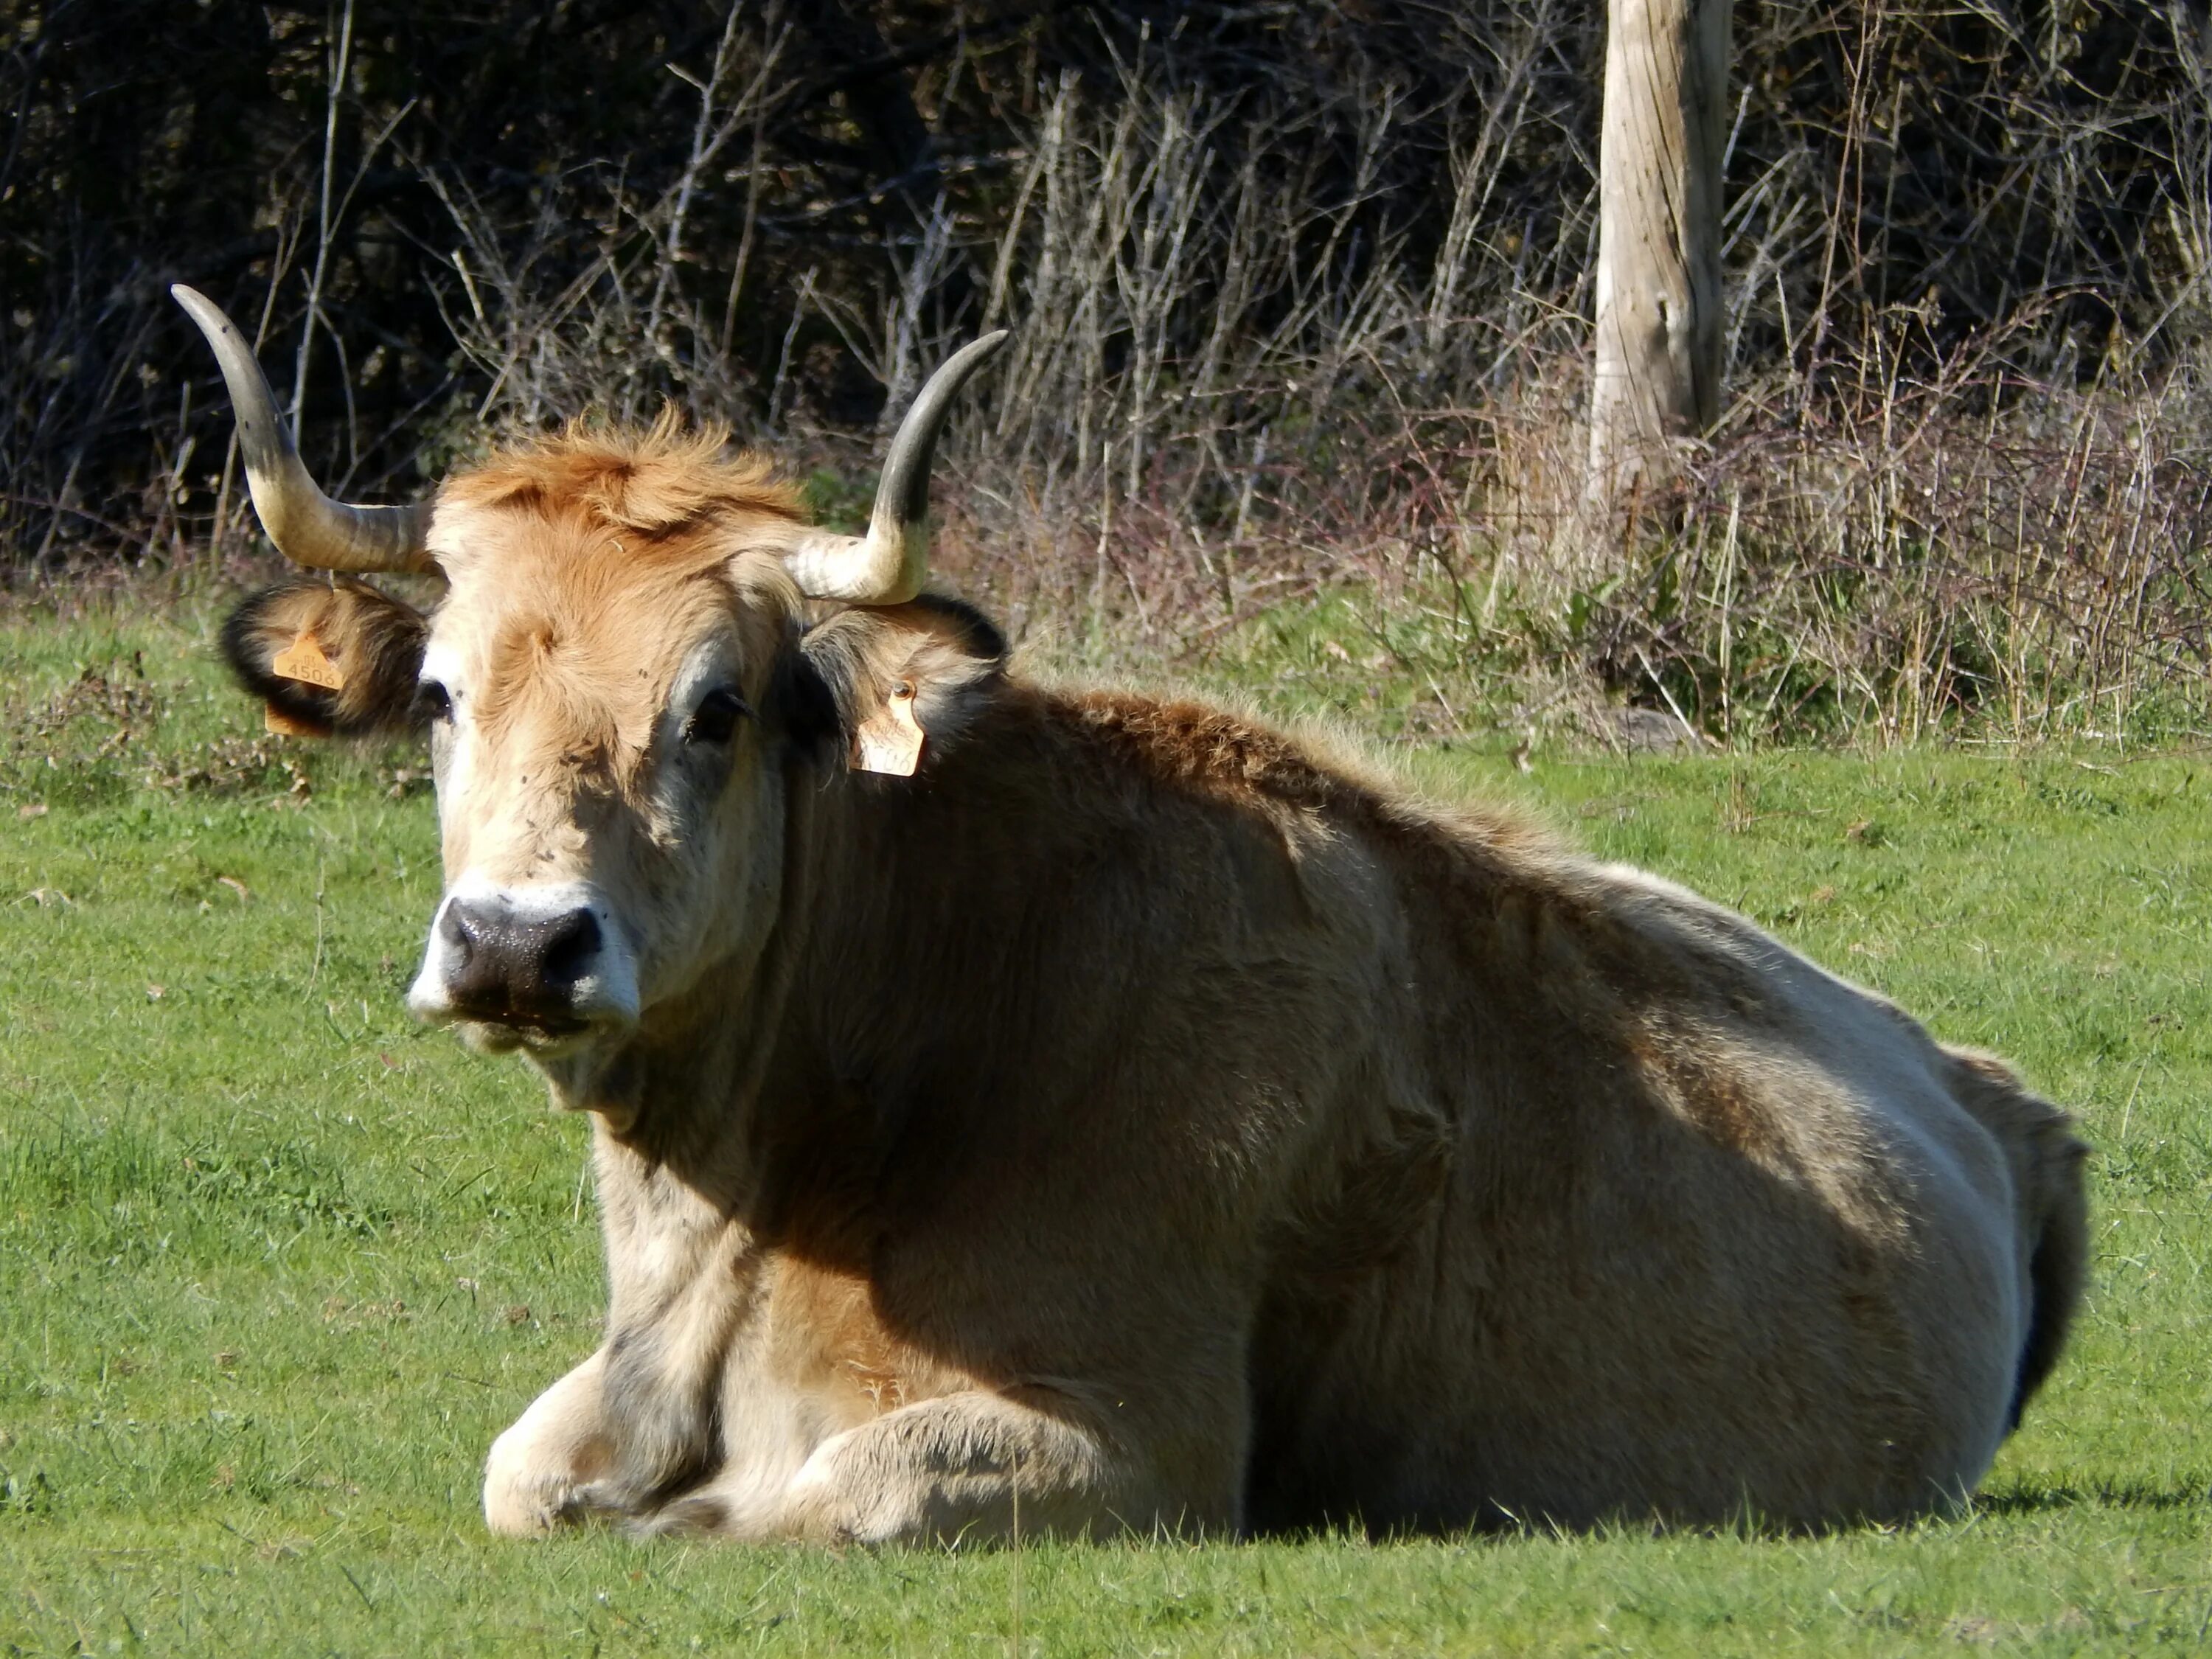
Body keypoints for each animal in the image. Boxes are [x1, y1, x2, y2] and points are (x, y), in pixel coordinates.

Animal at [177, 285, 2088, 1548]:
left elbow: (818, 1496)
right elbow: (528, 1477)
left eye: (717, 707)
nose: (515, 942)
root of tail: (1976, 1087)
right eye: (438, 693)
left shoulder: (1135, 1443)